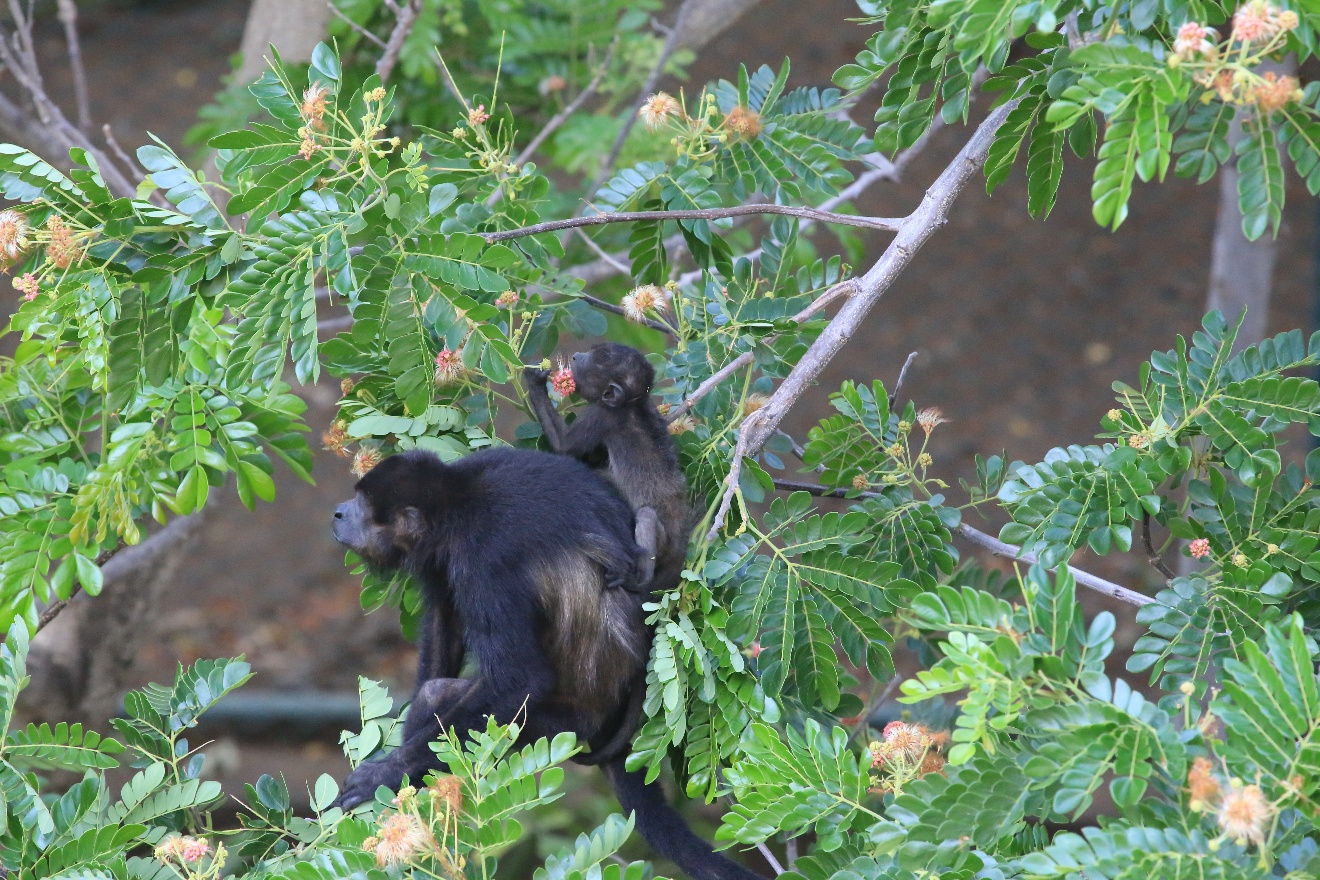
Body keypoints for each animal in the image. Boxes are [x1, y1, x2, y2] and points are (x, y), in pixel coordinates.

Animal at [330, 448, 762, 880]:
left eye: (362, 505)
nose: (338, 512)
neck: (456, 501)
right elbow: (444, 620)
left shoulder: (483, 553)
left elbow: (518, 677)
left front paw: (385, 775)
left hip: (555, 725)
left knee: (445, 696)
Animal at [524, 343, 689, 594]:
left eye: (588, 361)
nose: (576, 356)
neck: (633, 403)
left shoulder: (602, 415)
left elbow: (563, 446)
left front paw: (535, 381)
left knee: (647, 516)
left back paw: (638, 578)